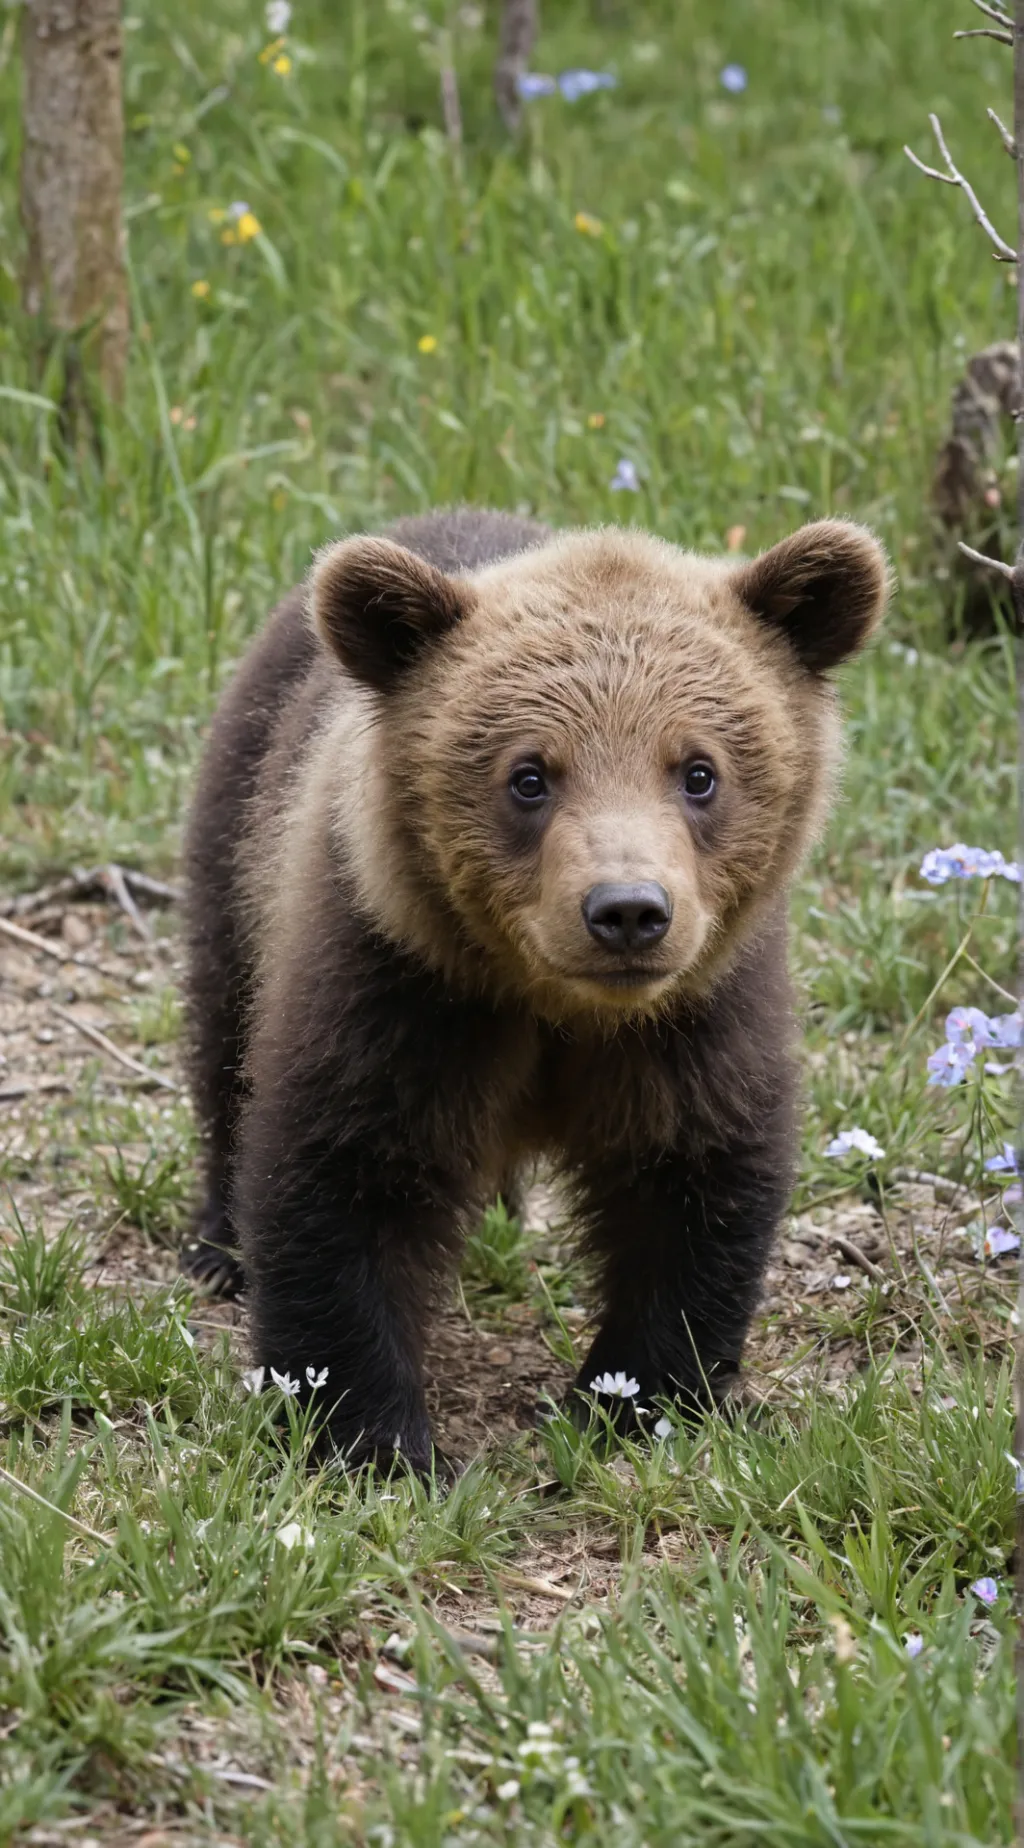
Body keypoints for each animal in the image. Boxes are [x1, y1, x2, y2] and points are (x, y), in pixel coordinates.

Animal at [181, 506, 889, 1474]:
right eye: (529, 775)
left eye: (698, 770)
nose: (628, 911)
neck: (558, 1006)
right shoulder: (401, 986)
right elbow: (340, 1174)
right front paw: (377, 1438)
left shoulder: (696, 1014)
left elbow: (693, 1178)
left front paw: (632, 1399)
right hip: (242, 832)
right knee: (224, 1029)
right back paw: (218, 1243)